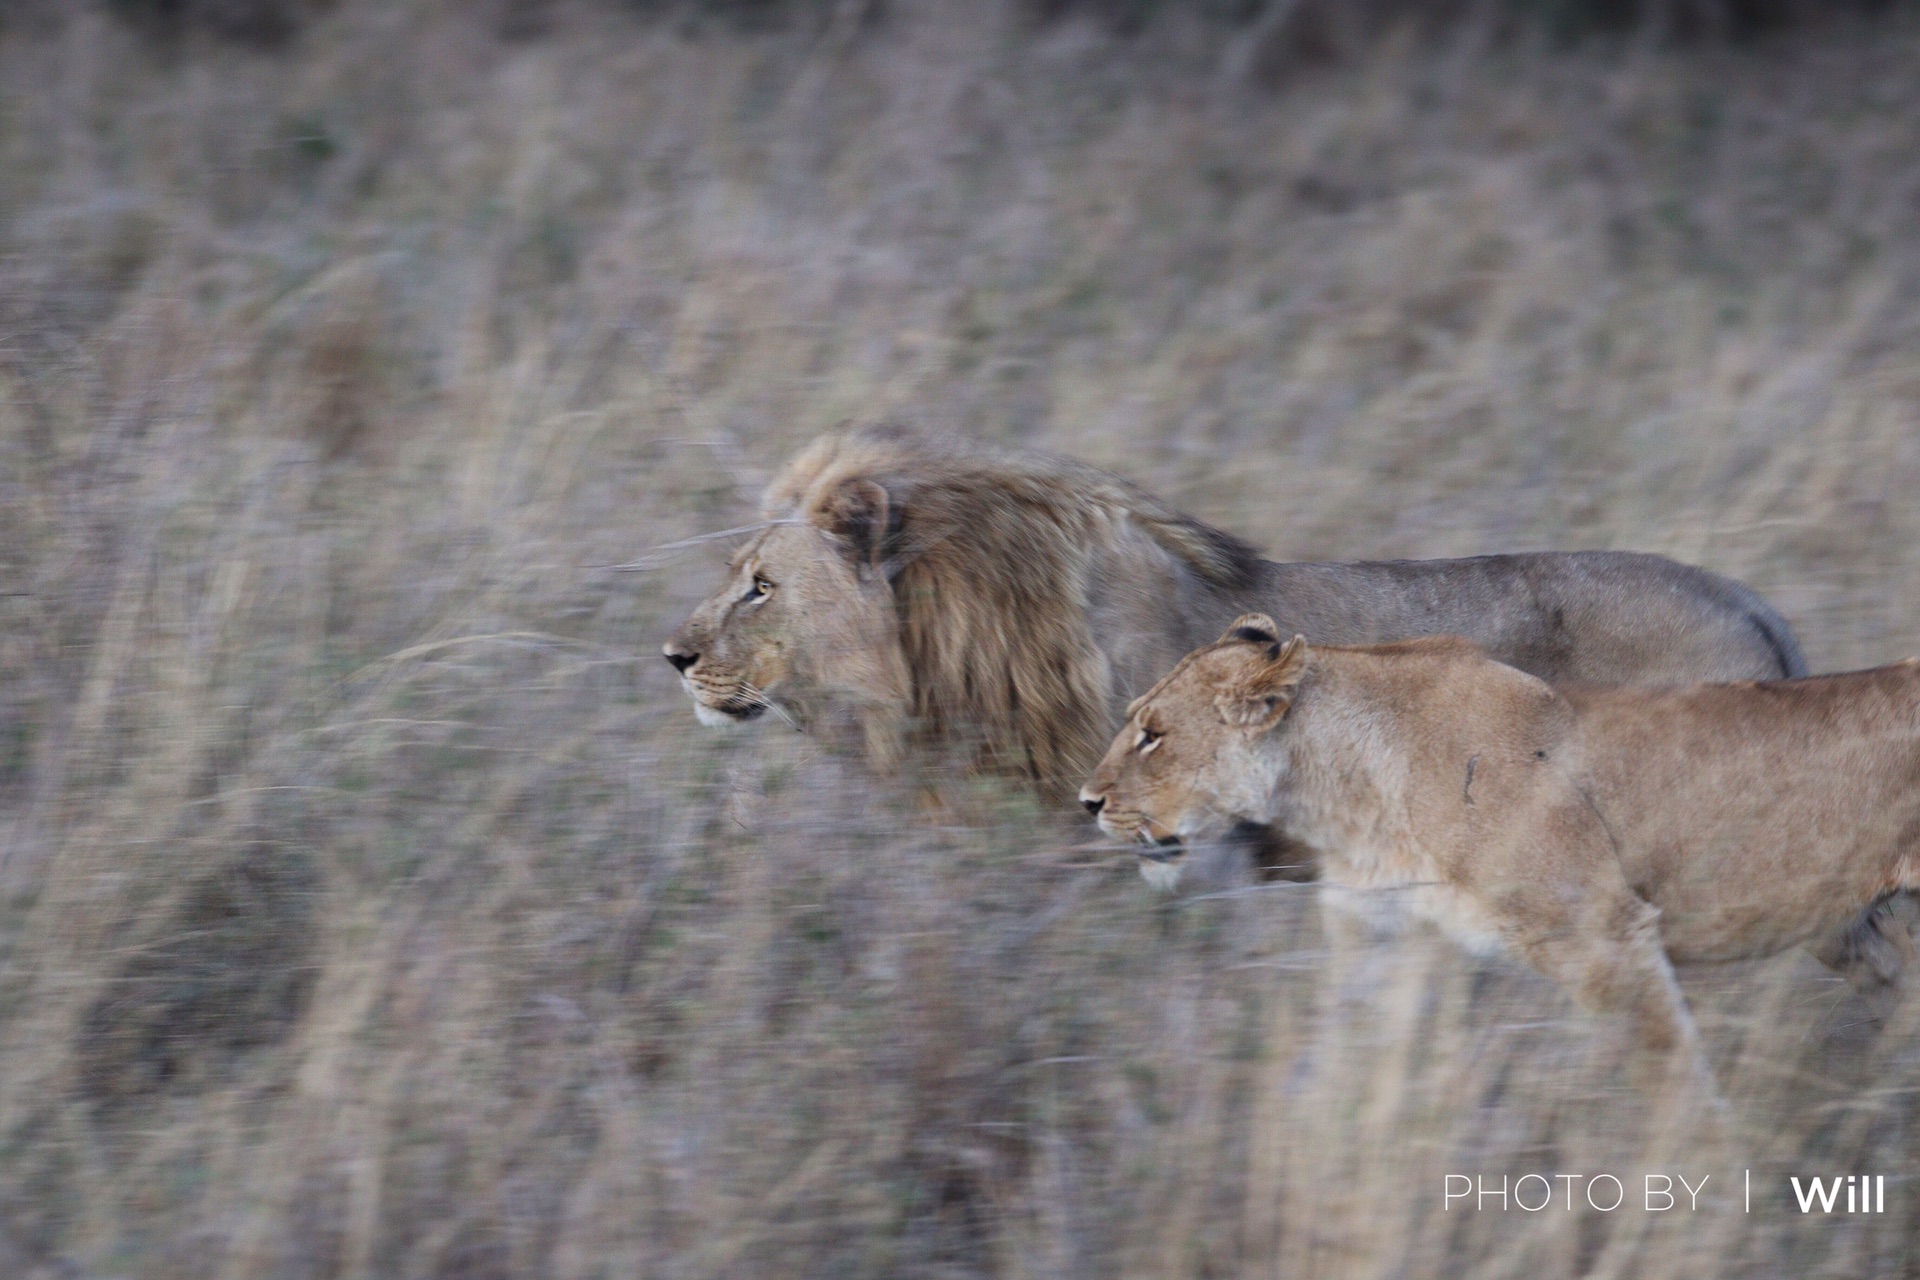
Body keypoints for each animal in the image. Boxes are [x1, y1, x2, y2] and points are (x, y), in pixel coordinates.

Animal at [1082, 614, 1920, 1059]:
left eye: (1153, 734)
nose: (1086, 801)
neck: (1343, 789)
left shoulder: (1607, 934)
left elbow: (1674, 1079)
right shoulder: (1380, 939)